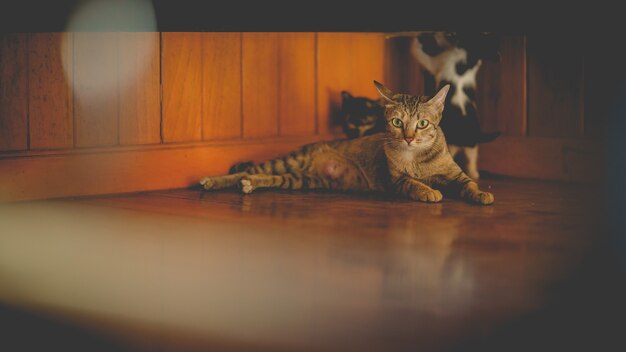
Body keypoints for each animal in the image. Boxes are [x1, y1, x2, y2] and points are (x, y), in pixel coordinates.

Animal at [200, 81, 492, 205]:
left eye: (422, 123)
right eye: (397, 122)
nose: (408, 138)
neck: (417, 158)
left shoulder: (456, 174)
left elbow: (469, 183)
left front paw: (482, 194)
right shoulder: (396, 181)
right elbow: (413, 184)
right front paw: (428, 191)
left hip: (301, 179)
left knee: (264, 177)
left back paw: (249, 184)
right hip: (291, 161)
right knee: (249, 170)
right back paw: (212, 181)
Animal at [408, 32, 500, 180]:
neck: (469, 56)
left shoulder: (434, 62)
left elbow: (418, 51)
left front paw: (419, 38)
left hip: (450, 144)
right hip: (471, 145)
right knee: (472, 158)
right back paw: (474, 174)